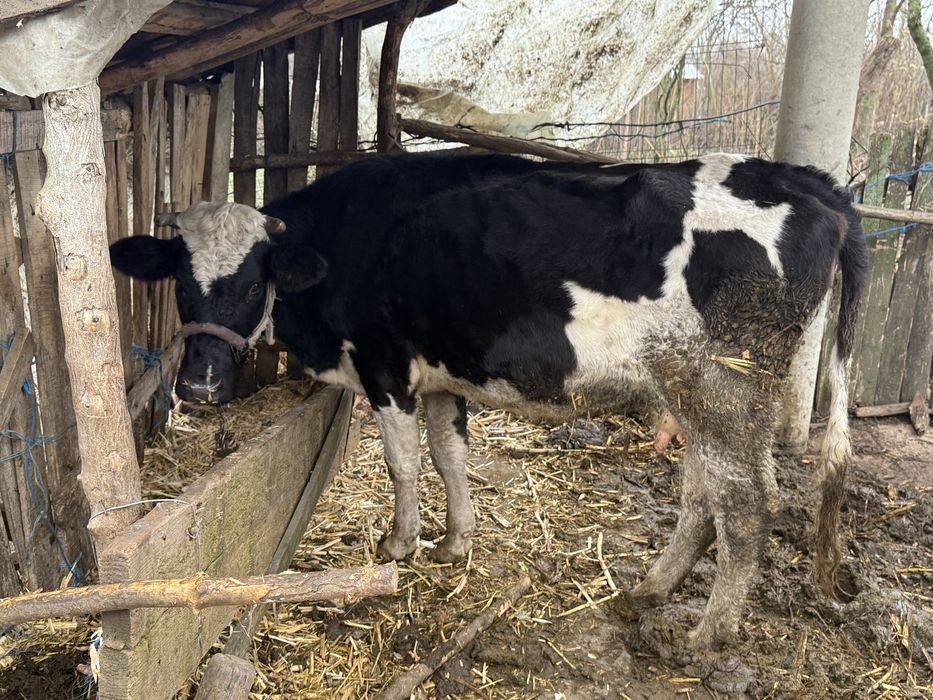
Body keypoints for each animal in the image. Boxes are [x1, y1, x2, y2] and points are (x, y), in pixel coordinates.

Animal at [110, 152, 867, 651]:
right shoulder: (444, 377)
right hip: (695, 392)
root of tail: (808, 182)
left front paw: (400, 543)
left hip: (721, 387)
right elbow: (450, 459)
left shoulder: (385, 367)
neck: (345, 240)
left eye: (251, 280)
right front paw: (455, 542)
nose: (200, 386)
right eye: (181, 281)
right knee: (704, 495)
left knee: (747, 508)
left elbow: (403, 464)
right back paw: (653, 588)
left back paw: (708, 633)